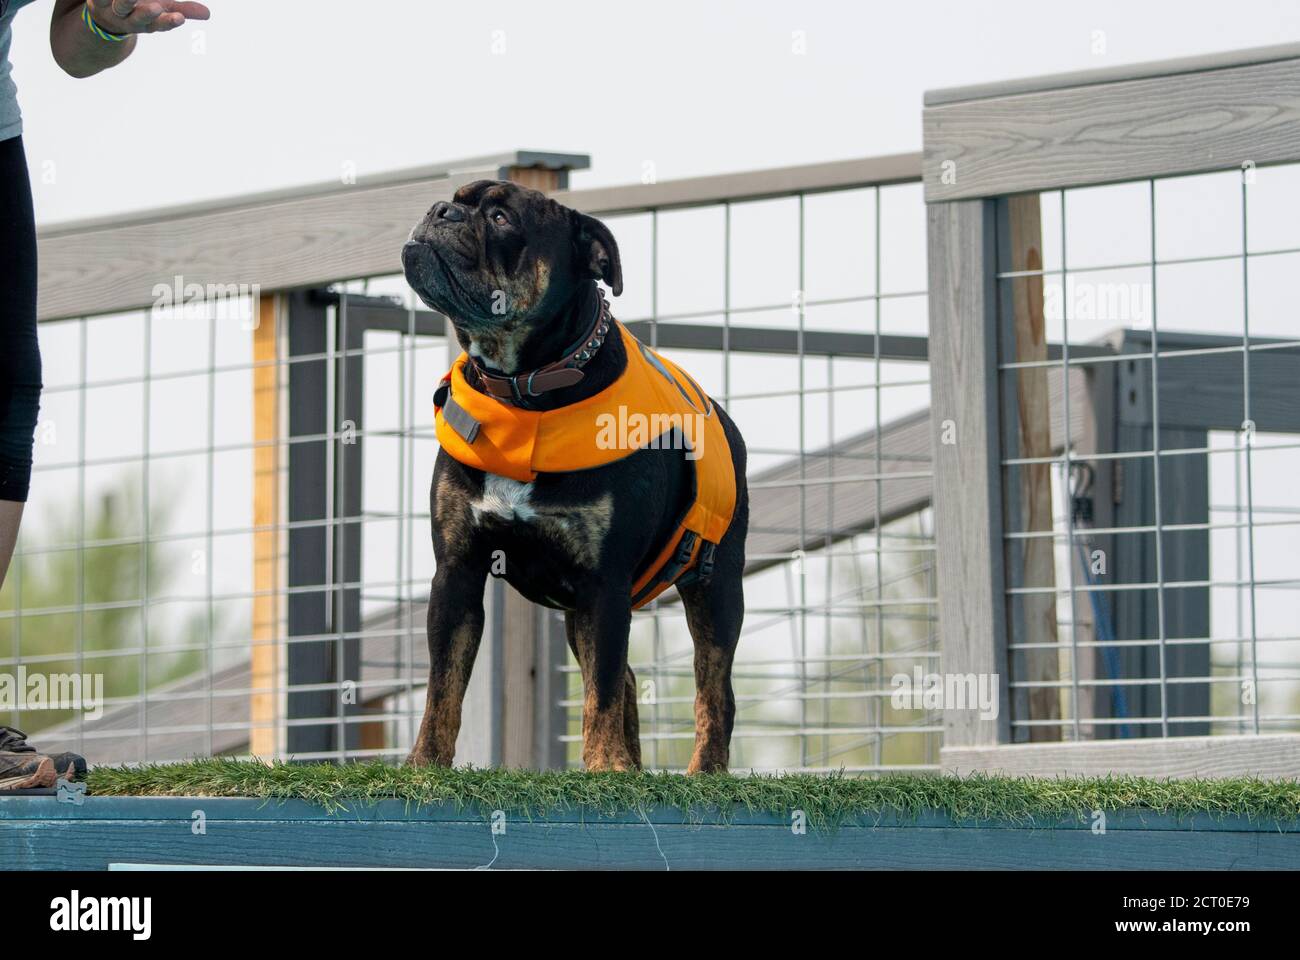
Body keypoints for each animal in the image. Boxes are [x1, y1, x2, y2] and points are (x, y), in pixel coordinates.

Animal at [400, 179, 748, 770]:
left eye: (501, 217)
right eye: (454, 200)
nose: (440, 210)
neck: (523, 390)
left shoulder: (604, 583)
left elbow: (600, 691)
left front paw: (604, 764)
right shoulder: (456, 573)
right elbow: (443, 687)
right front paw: (425, 763)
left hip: (716, 587)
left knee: (712, 689)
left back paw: (703, 771)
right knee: (625, 677)